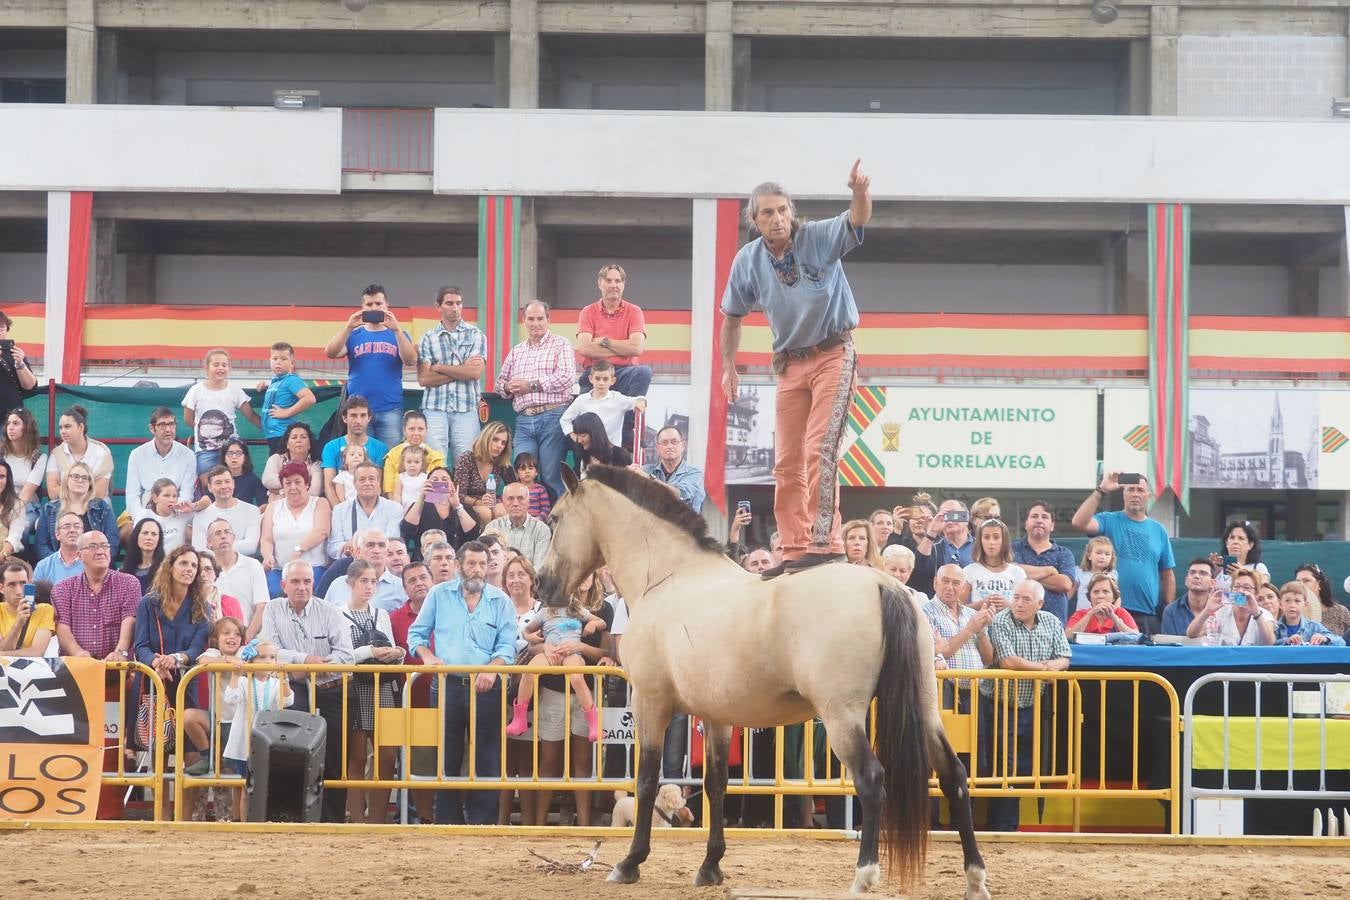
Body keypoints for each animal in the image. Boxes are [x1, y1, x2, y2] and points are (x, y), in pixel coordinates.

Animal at [537, 464, 993, 900]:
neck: (668, 577)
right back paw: (974, 878)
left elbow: (647, 781)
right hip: (925, 707)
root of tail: (883, 584)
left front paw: (630, 863)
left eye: (555, 517)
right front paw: (711, 866)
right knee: (954, 777)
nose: (542, 584)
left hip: (842, 717)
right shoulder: (716, 716)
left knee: (871, 780)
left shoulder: (651, 703)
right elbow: (715, 784)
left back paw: (864, 876)